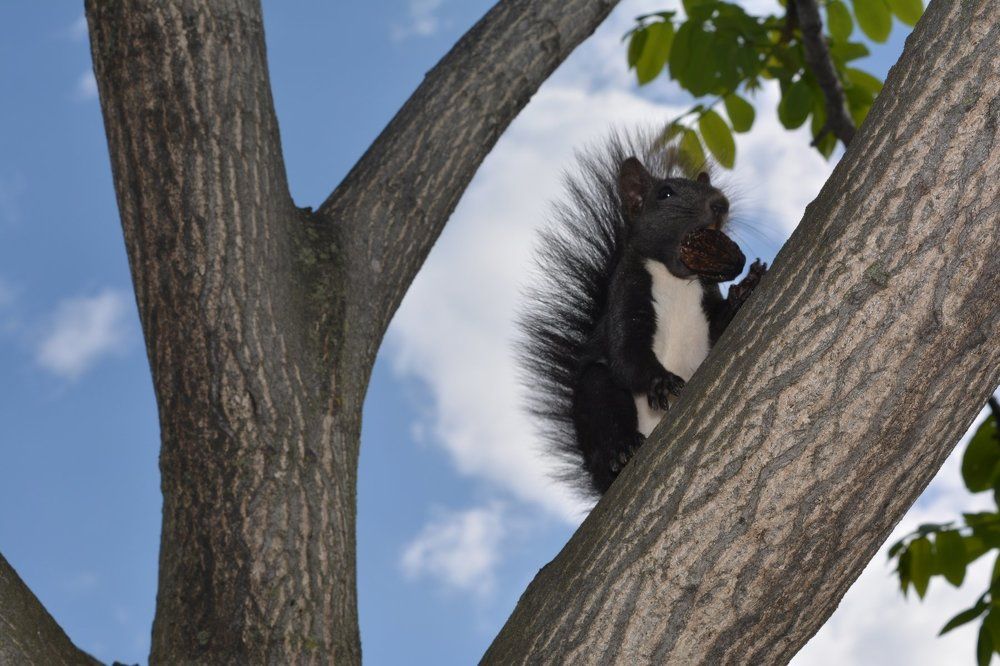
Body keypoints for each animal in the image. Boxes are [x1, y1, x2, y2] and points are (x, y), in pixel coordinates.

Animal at [519, 132, 767, 497]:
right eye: (665, 193)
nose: (720, 203)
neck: (677, 281)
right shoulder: (626, 300)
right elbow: (627, 354)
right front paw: (660, 380)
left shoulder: (706, 305)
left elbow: (722, 327)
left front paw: (745, 287)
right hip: (597, 399)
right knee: (604, 400)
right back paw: (620, 451)